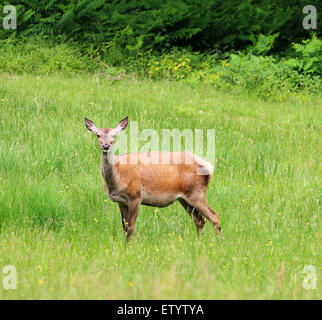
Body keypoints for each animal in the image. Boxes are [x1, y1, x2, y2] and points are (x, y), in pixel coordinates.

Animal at [84, 116, 220, 241]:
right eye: (98, 135)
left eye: (114, 135)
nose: (106, 145)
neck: (117, 179)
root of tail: (208, 166)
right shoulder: (121, 201)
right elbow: (124, 227)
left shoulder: (136, 195)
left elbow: (131, 227)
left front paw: (128, 247)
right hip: (184, 198)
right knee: (200, 220)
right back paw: (199, 243)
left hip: (196, 192)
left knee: (214, 216)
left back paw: (219, 243)